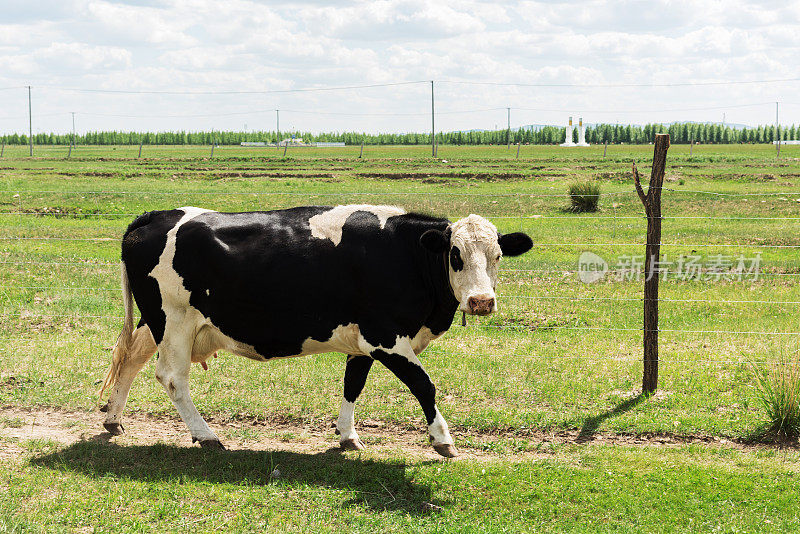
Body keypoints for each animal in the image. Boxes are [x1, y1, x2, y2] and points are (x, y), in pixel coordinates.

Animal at [100, 204, 532, 456]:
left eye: (497, 255)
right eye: (455, 255)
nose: (481, 301)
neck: (404, 255)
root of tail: (154, 215)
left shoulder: (362, 341)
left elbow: (353, 384)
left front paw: (347, 435)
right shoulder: (385, 337)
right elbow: (423, 385)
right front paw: (442, 439)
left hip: (156, 320)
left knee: (131, 359)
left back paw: (113, 418)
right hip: (173, 320)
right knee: (172, 377)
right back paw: (206, 435)